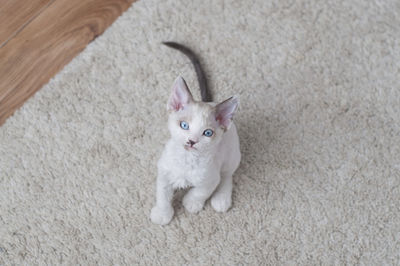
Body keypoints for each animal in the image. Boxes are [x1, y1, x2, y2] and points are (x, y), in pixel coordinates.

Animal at [151, 77, 241, 224]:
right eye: (184, 125)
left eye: (208, 133)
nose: (192, 141)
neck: (187, 159)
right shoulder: (164, 172)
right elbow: (162, 195)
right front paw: (162, 214)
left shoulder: (211, 178)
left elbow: (200, 192)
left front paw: (191, 203)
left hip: (231, 155)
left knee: (227, 176)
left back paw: (221, 199)